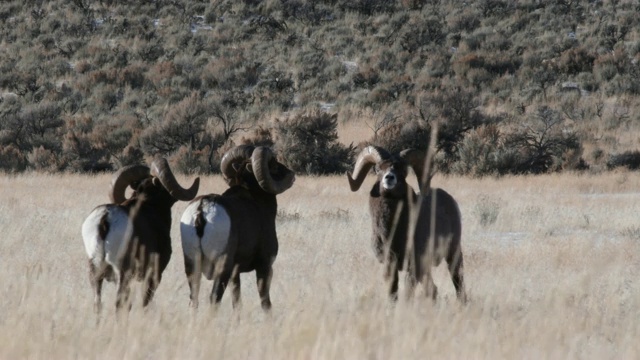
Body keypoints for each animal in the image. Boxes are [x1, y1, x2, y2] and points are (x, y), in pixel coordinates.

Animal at [81, 159, 199, 310]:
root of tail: (105, 219)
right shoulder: (154, 274)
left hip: (95, 274)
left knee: (98, 303)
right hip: (122, 274)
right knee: (119, 303)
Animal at [180, 146, 296, 310]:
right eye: (273, 166)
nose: (292, 175)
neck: (258, 203)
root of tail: (202, 210)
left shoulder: (235, 275)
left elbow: (237, 303)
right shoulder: (264, 266)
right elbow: (265, 302)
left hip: (192, 266)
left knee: (193, 300)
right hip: (222, 269)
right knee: (214, 298)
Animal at [350, 145, 464, 302]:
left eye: (403, 171)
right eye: (378, 169)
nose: (389, 178)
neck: (392, 232)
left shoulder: (414, 265)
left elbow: (408, 292)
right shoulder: (390, 265)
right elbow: (393, 292)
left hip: (453, 255)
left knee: (458, 285)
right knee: (433, 290)